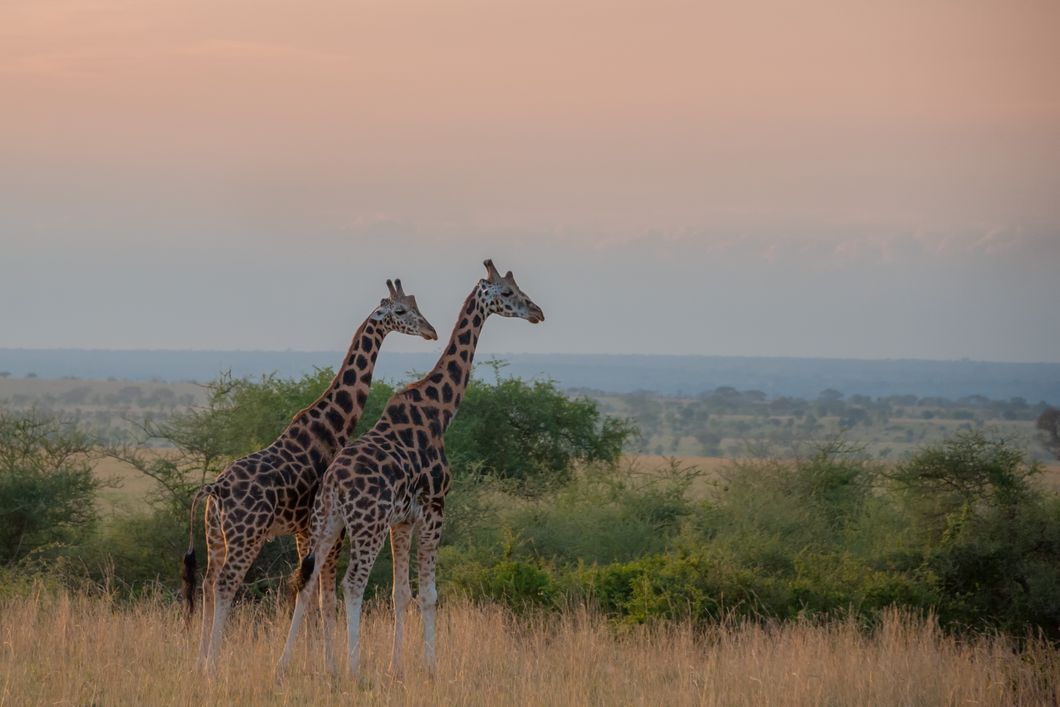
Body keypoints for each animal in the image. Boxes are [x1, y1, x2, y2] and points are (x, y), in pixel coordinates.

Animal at [184, 278, 437, 675]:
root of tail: (215, 488)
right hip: (246, 534)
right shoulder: (318, 527)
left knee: (209, 584)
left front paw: (312, 663)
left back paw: (199, 662)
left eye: (416, 307)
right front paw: (326, 666)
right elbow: (323, 596)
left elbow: (313, 593)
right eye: (400, 311)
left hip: (216, 536)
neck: (334, 424)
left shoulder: (307, 529)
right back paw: (212, 665)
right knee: (225, 585)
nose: (430, 331)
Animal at [275, 259, 544, 679]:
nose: (537, 312)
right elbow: (429, 594)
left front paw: (396, 665)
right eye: (507, 293)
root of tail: (334, 483)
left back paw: (284, 666)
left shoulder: (401, 519)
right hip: (365, 524)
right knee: (352, 584)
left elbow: (400, 593)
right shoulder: (434, 507)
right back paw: (353, 669)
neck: (441, 411)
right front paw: (430, 666)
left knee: (306, 581)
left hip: (326, 522)